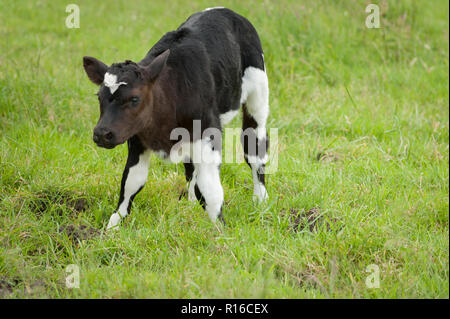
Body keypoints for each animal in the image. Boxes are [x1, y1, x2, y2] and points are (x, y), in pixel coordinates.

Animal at [82, 7, 268, 230]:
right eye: (99, 97)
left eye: (134, 98)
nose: (102, 134)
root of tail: (224, 10)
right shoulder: (137, 137)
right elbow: (131, 181)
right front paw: (113, 226)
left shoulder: (208, 132)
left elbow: (210, 188)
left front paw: (219, 228)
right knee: (191, 168)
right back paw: (190, 204)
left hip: (257, 99)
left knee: (255, 152)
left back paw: (261, 200)